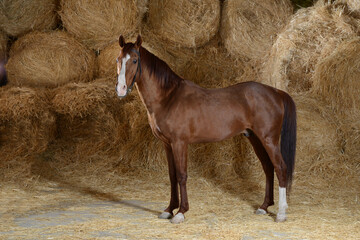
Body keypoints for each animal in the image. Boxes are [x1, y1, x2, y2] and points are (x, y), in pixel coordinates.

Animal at [115, 35, 296, 223]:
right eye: (118, 59)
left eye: (134, 60)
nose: (120, 89)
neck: (168, 97)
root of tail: (276, 92)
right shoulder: (167, 144)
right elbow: (172, 176)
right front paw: (169, 209)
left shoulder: (179, 143)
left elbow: (181, 175)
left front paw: (181, 212)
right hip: (255, 138)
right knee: (268, 168)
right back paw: (264, 206)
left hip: (269, 139)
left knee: (280, 168)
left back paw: (281, 213)